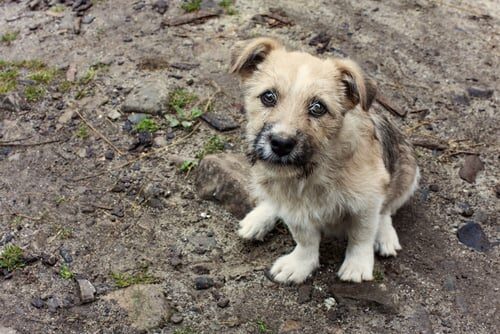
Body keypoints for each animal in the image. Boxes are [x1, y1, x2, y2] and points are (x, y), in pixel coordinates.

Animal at [230, 36, 418, 284]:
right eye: (268, 97)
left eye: (318, 107)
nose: (281, 144)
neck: (315, 168)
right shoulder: (294, 208)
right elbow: (305, 239)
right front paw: (300, 264)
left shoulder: (367, 202)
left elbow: (362, 235)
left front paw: (357, 266)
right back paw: (259, 217)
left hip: (409, 174)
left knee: (387, 209)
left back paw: (385, 235)